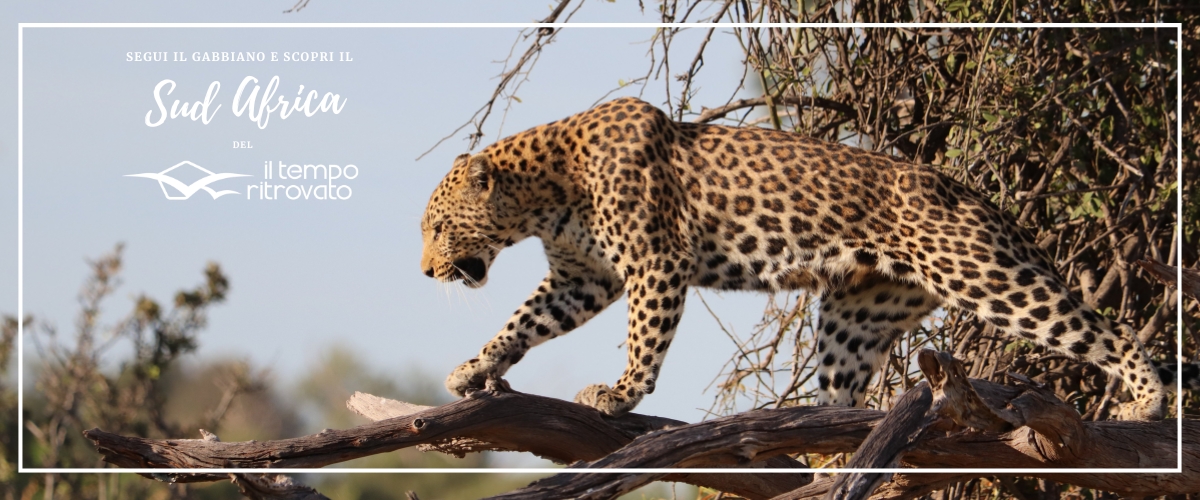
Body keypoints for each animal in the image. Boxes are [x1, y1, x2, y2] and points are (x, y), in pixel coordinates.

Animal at [420, 96, 1174, 421]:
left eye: (435, 226)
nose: (425, 273)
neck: (544, 192)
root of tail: (969, 192)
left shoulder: (655, 263)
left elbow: (643, 338)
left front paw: (620, 392)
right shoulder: (583, 277)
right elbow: (523, 321)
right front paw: (475, 367)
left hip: (984, 276)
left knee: (1105, 331)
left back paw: (1147, 400)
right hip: (859, 315)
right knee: (842, 395)